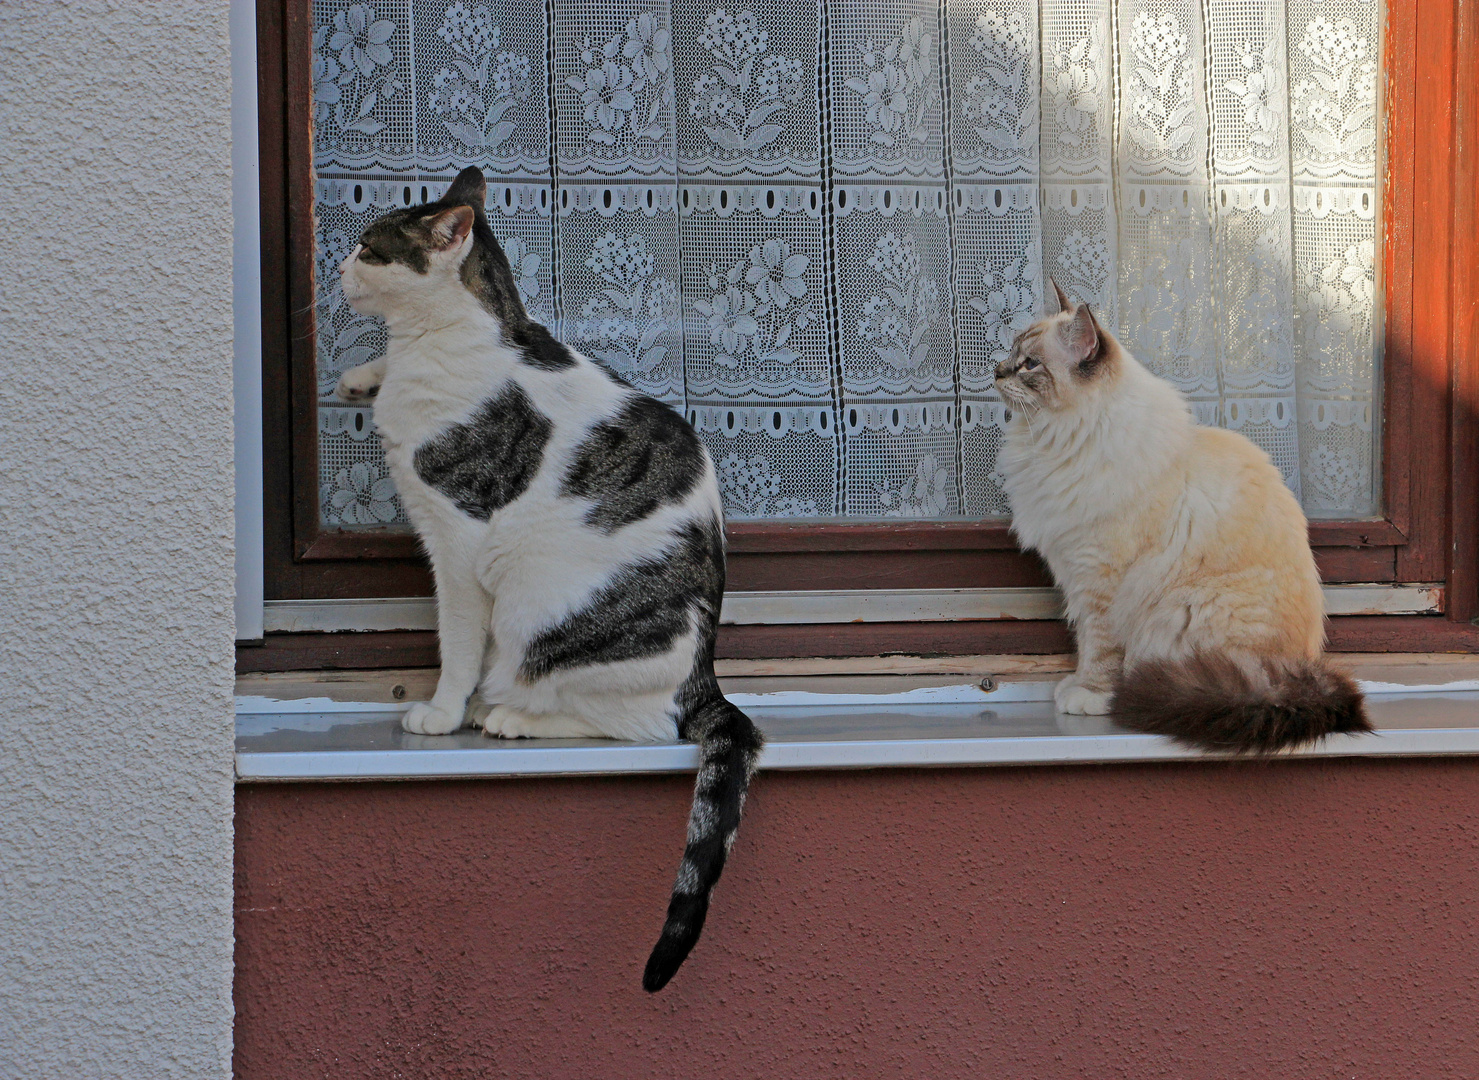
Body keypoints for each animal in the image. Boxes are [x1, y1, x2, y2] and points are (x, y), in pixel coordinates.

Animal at [334, 166, 763, 982]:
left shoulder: (456, 540)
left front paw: (442, 711)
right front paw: (360, 376)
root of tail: (706, 674)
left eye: (371, 248)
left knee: (640, 725)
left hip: (536, 608)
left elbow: (456, 643)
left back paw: (510, 716)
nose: (338, 267)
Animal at [987, 278, 1366, 748]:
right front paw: (1076, 685)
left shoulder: (1098, 579)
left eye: (1030, 364)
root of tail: (1293, 678)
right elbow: (1085, 643)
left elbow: (1098, 648)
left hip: (1191, 610)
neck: (1056, 438)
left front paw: (1089, 694)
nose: (996, 370)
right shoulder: (1076, 573)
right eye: (1010, 352)